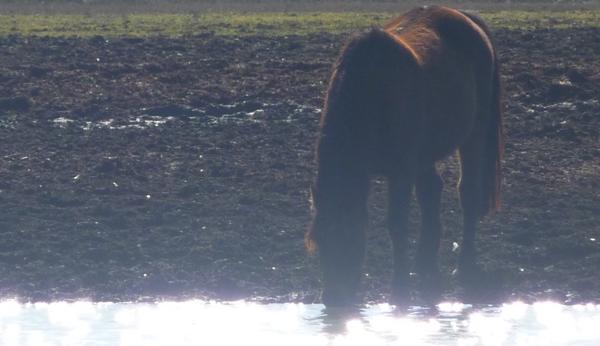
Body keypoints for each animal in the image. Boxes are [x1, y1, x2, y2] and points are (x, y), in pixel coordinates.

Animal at [304, 6, 502, 306]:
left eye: (348, 237)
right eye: (319, 240)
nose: (333, 300)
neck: (373, 92)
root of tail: (466, 18)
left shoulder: (401, 173)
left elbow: (396, 224)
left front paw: (399, 286)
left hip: (473, 135)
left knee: (467, 193)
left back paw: (463, 264)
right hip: (426, 153)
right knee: (432, 191)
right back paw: (425, 263)